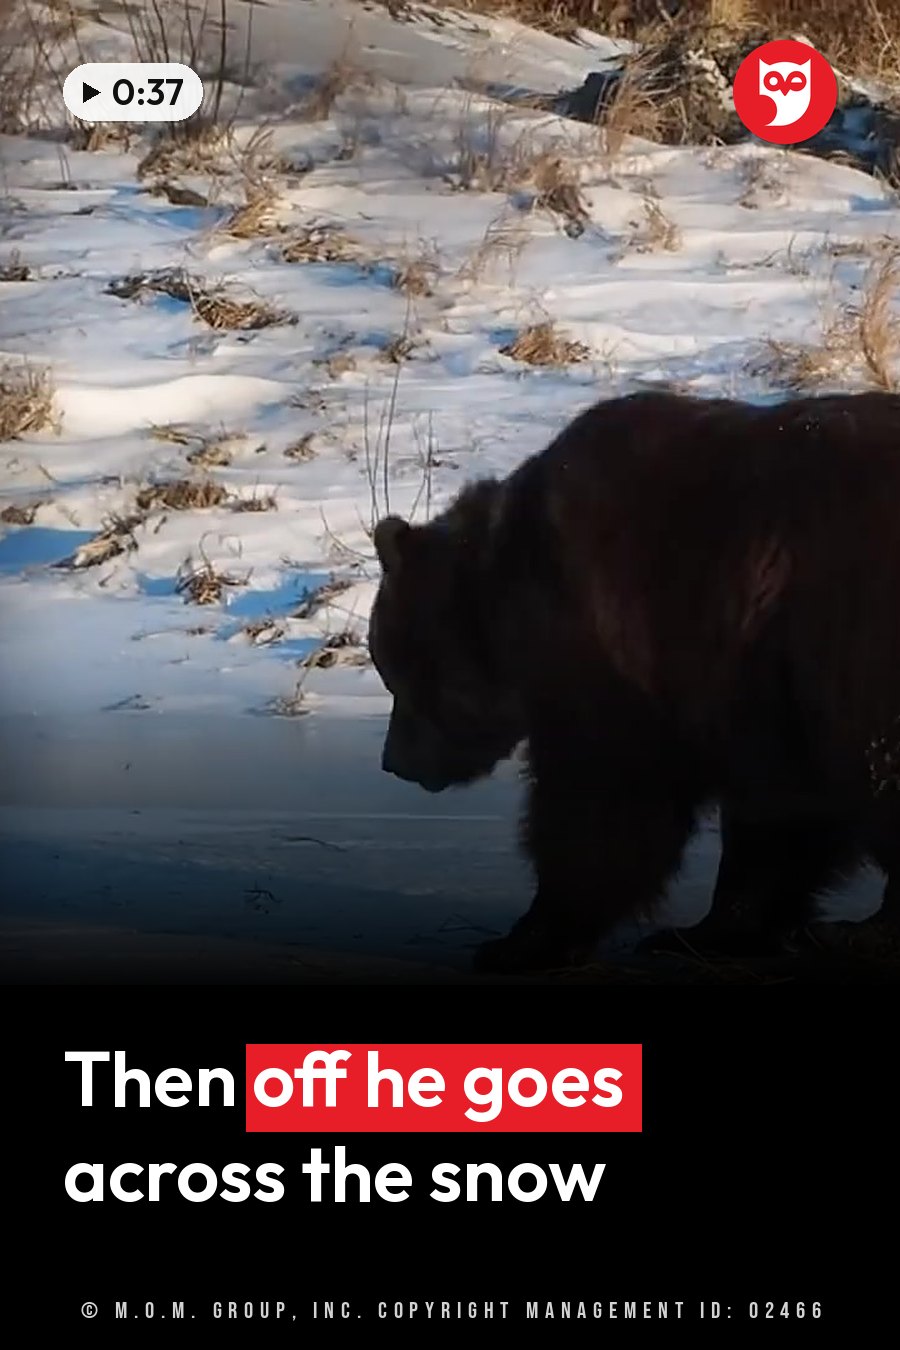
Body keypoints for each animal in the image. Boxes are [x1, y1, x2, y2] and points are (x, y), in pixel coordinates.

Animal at [367, 390, 900, 973]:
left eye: (398, 674)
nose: (394, 761)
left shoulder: (632, 647)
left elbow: (604, 802)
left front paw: (525, 938)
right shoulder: (757, 693)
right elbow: (777, 819)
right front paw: (706, 932)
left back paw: (859, 933)